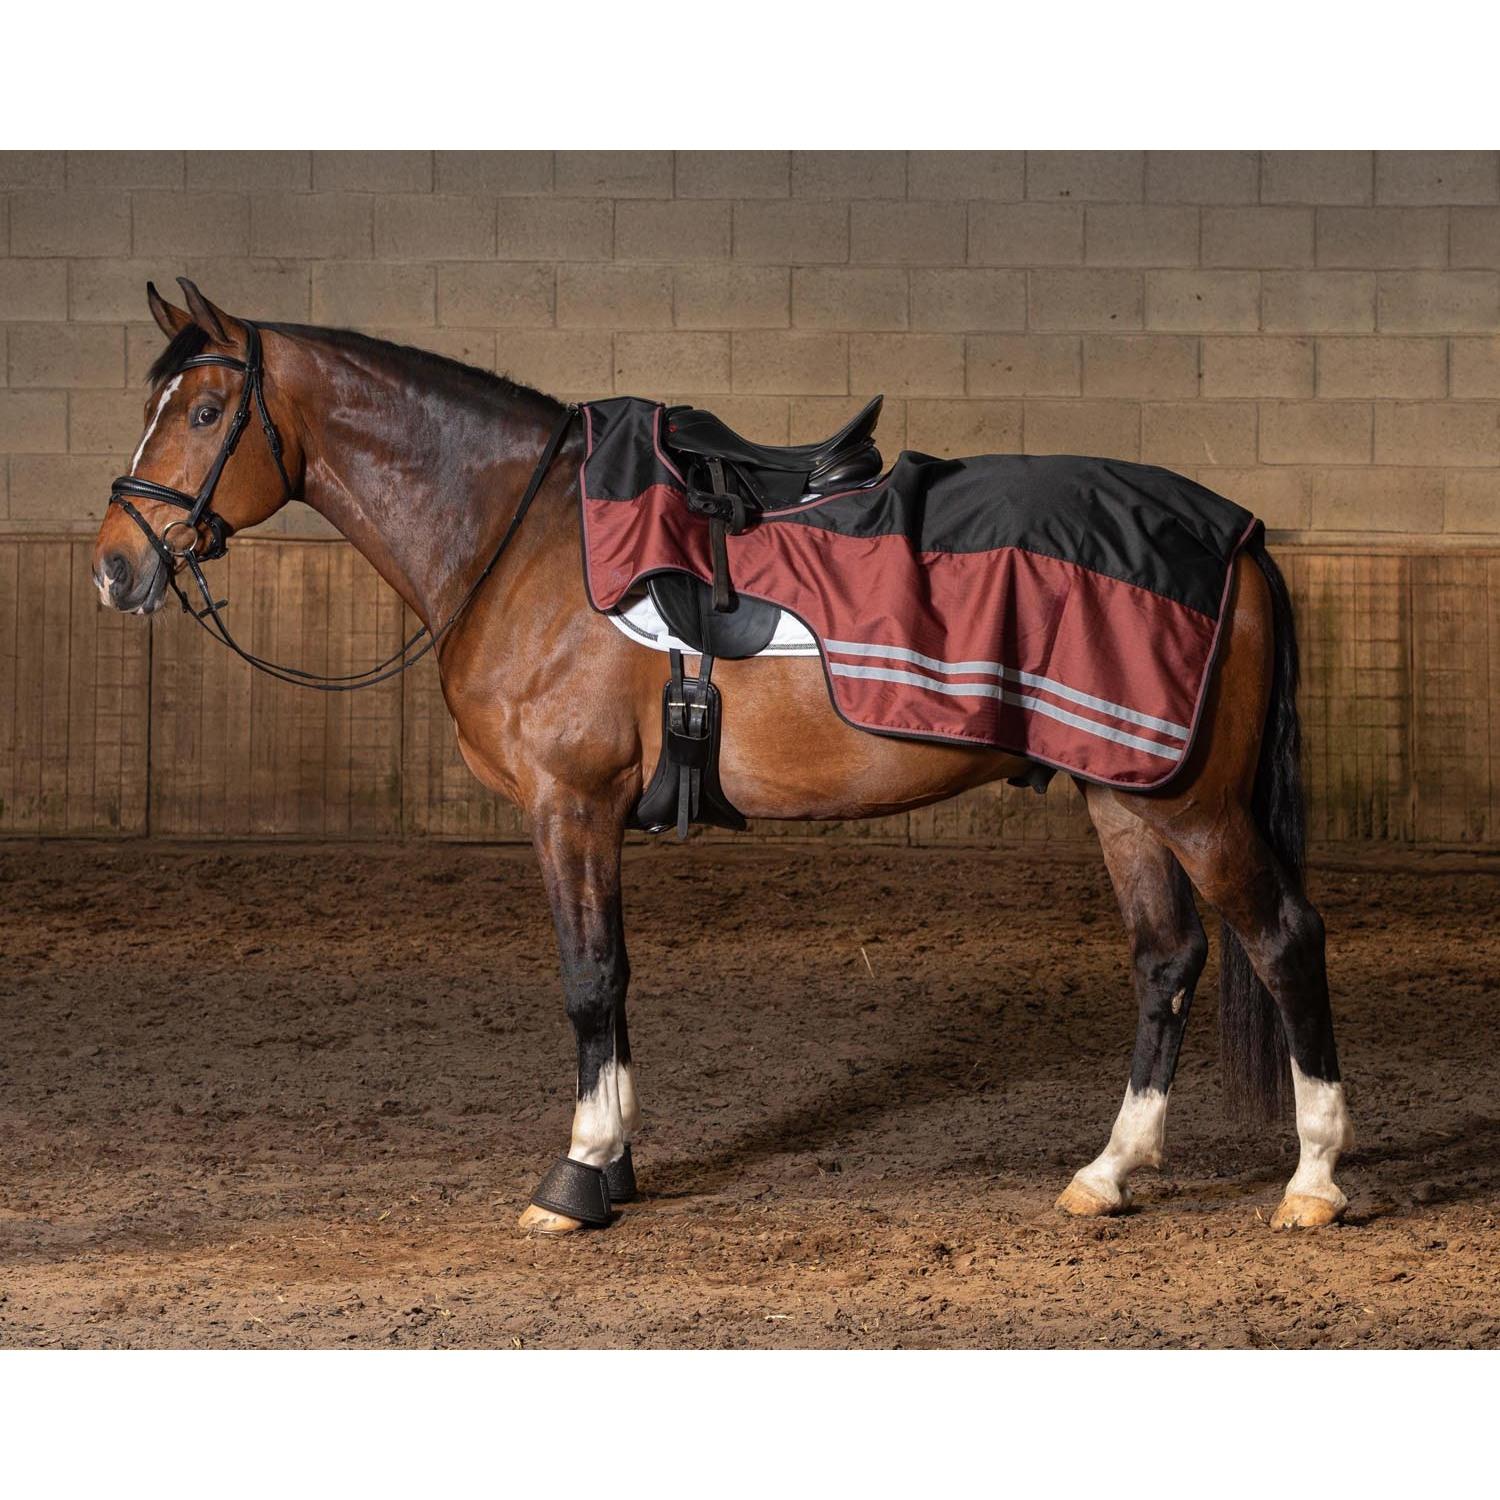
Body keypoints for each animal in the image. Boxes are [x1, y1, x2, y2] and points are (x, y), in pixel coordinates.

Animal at [90, 280, 1354, 1234]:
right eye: (154, 403)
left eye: (205, 410)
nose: (113, 567)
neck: (522, 537)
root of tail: (1237, 534)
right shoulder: (586, 815)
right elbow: (615, 980)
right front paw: (615, 1161)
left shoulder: (569, 805)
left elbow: (589, 979)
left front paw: (579, 1177)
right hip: (1123, 795)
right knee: (1167, 960)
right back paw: (1110, 1172)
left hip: (1196, 805)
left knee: (1283, 939)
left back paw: (1314, 1180)